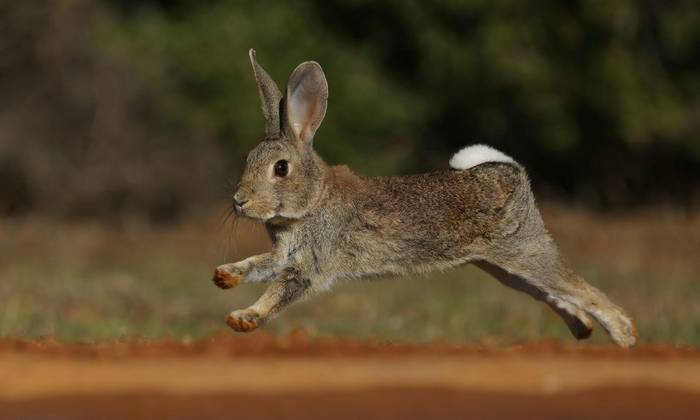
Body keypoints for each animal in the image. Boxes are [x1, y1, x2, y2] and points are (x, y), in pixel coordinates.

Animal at [212, 49, 638, 348]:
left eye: (281, 169)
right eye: (249, 158)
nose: (239, 201)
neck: (313, 201)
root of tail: (510, 172)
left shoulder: (310, 264)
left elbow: (279, 291)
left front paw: (242, 318)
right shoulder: (283, 253)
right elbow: (258, 265)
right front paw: (224, 276)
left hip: (523, 252)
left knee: (576, 286)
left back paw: (625, 336)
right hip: (502, 266)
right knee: (552, 293)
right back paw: (583, 329)